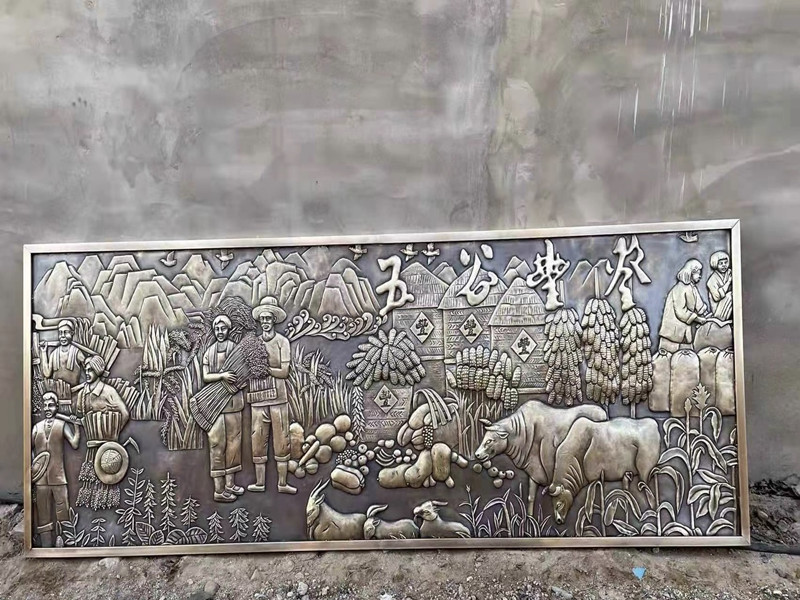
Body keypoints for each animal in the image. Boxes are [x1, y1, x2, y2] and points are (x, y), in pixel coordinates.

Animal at [474, 401, 608, 515]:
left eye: (490, 441)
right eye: (484, 437)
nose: (477, 454)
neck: (522, 433)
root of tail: (603, 413)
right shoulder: (534, 472)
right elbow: (531, 497)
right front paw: (529, 520)